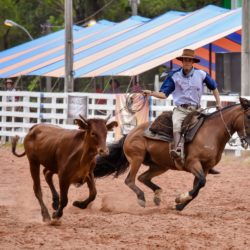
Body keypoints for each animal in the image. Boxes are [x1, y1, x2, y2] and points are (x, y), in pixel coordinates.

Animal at [94, 97, 250, 211]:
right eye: (248, 116)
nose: (247, 141)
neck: (211, 132)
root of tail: (130, 133)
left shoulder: (204, 169)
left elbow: (198, 187)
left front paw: (180, 204)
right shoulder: (193, 163)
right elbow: (200, 183)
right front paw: (180, 199)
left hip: (160, 166)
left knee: (142, 178)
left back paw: (157, 195)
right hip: (137, 159)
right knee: (130, 180)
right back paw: (142, 198)